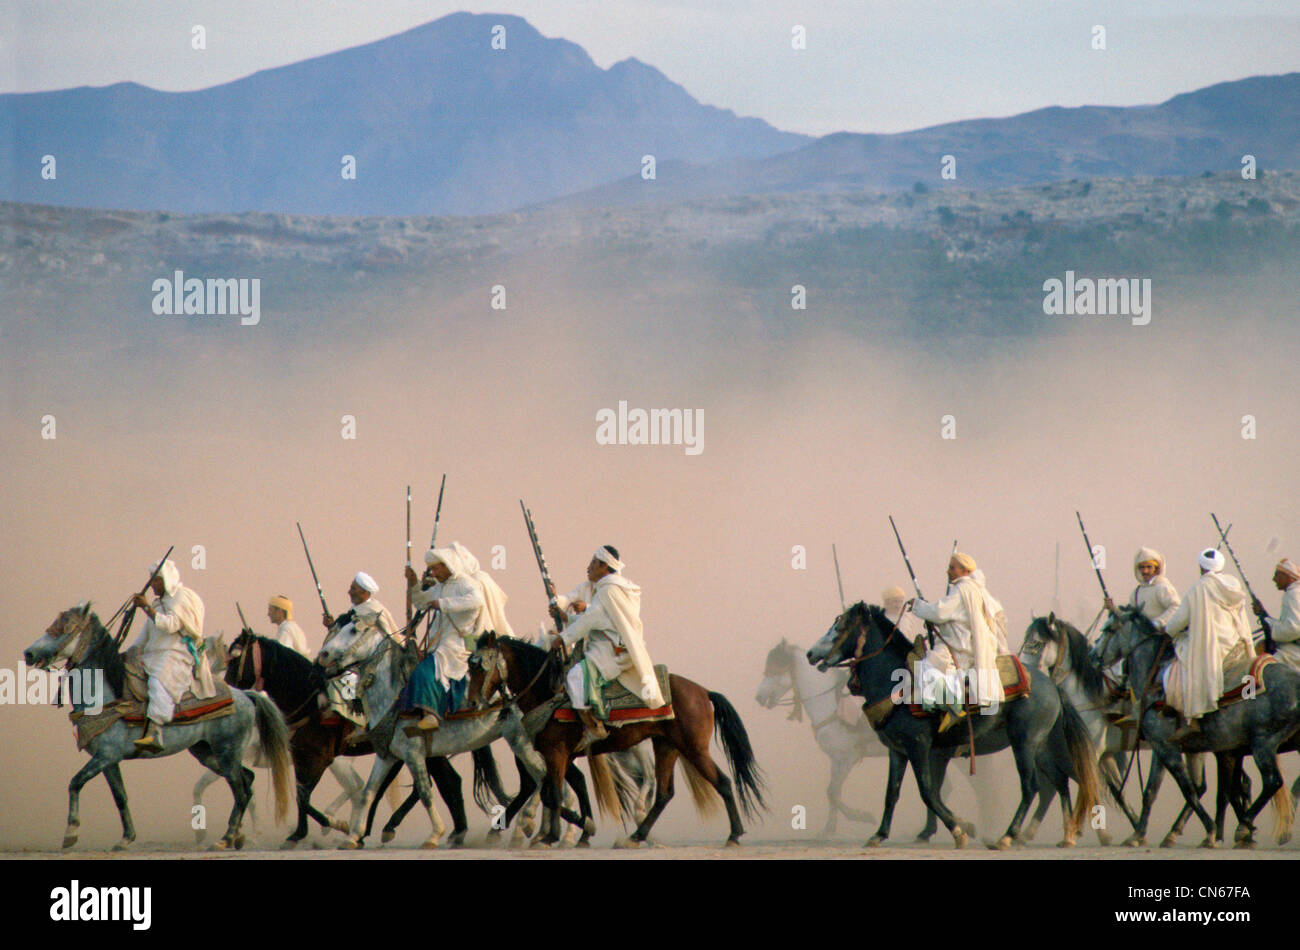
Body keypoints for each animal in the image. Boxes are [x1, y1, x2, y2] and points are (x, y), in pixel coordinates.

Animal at [23, 605, 292, 857]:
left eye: (63, 628)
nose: (29, 653)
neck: (105, 696)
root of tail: (245, 695)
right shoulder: (109, 760)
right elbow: (120, 796)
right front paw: (125, 839)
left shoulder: (105, 755)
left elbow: (75, 783)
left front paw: (71, 833)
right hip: (208, 753)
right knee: (247, 781)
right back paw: (237, 837)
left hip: (227, 752)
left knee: (241, 790)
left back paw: (224, 839)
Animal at [465, 634, 759, 852]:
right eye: (469, 664)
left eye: (480, 665)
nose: (472, 703)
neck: (548, 692)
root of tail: (703, 692)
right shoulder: (560, 755)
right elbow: (561, 788)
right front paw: (580, 831)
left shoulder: (556, 753)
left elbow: (555, 792)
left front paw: (550, 837)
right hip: (667, 746)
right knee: (664, 794)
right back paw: (635, 837)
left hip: (693, 748)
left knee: (722, 782)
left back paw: (734, 835)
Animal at [754, 639, 993, 842]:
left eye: (775, 668)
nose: (759, 697)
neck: (829, 704)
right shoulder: (836, 760)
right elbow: (832, 792)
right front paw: (828, 830)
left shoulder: (846, 758)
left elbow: (833, 792)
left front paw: (862, 816)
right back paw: (932, 830)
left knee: (976, 787)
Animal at [1097, 608, 1300, 847]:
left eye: (1108, 629)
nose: (1093, 654)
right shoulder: (1165, 747)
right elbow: (1151, 791)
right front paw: (1137, 835)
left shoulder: (1172, 749)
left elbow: (1192, 790)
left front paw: (1212, 831)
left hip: (1263, 742)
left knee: (1272, 781)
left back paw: (1245, 826)